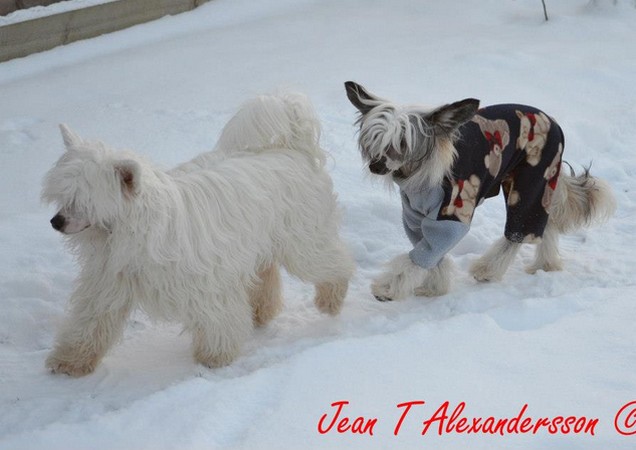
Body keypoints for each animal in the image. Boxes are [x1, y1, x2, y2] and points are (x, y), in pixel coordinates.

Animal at [41, 92, 354, 376]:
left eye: (83, 201)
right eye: (63, 197)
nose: (55, 222)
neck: (132, 231)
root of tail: (293, 150)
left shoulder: (207, 282)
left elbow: (218, 319)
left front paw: (215, 357)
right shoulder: (107, 285)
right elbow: (90, 322)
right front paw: (70, 360)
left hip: (304, 241)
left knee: (335, 262)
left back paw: (331, 298)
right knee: (266, 274)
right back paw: (261, 311)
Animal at [345, 81, 616, 301]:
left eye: (401, 142)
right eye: (374, 140)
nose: (376, 165)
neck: (419, 174)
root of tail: (552, 120)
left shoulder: (451, 213)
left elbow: (420, 256)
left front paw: (389, 288)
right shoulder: (415, 217)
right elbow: (430, 252)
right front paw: (435, 287)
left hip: (535, 176)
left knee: (519, 230)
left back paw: (489, 269)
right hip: (538, 184)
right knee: (543, 225)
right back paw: (546, 265)